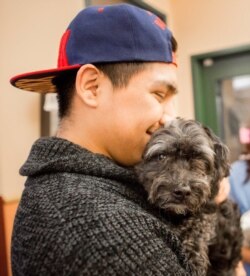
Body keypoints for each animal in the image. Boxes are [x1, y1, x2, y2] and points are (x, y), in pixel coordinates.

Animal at [136, 118, 243, 276]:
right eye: (161, 156)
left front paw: (193, 257)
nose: (182, 191)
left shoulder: (210, 208)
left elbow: (199, 223)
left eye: (199, 157)